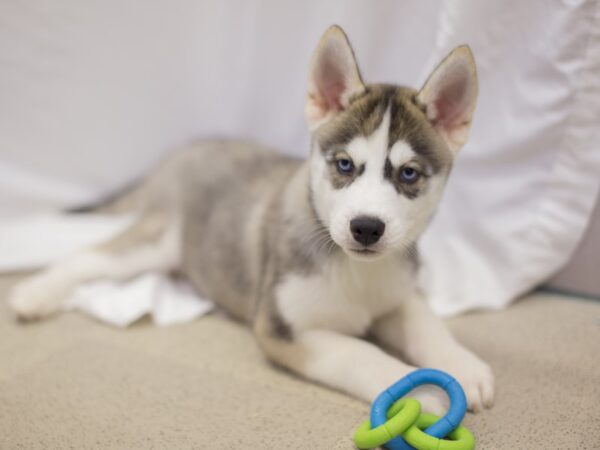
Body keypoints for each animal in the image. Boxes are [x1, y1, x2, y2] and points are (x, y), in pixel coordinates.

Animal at [10, 24, 492, 412]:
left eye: (408, 174)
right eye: (344, 165)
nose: (367, 228)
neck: (356, 272)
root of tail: (182, 151)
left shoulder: (397, 294)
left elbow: (425, 323)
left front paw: (462, 365)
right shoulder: (282, 328)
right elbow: (359, 354)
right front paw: (416, 391)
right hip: (159, 239)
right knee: (91, 256)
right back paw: (34, 294)